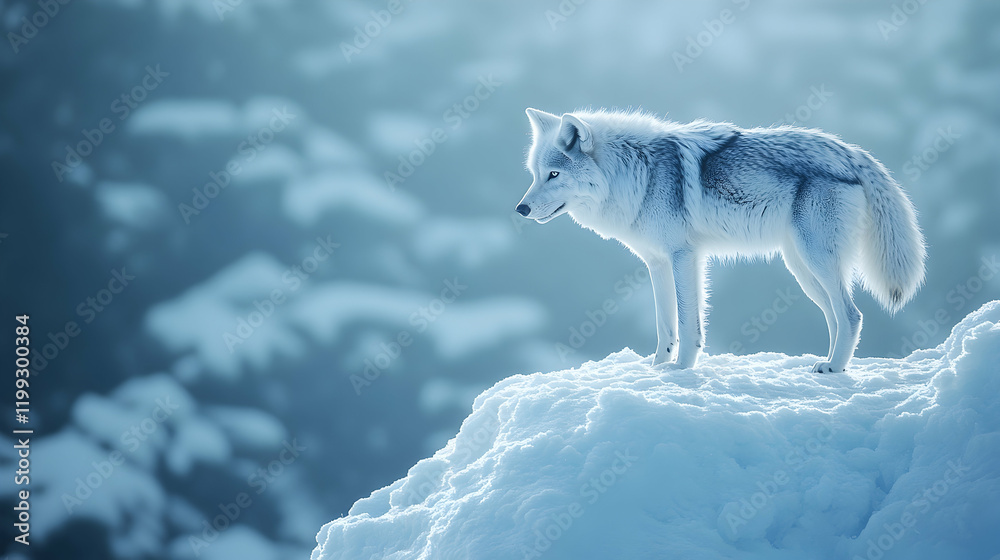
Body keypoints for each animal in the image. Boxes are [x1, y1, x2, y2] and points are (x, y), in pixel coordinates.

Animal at [515, 108, 925, 372]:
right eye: (535, 174)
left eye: (554, 174)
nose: (520, 208)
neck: (638, 174)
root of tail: (853, 152)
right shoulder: (657, 263)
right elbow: (664, 325)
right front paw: (657, 368)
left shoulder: (685, 257)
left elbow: (687, 323)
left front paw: (681, 370)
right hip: (803, 269)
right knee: (837, 317)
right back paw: (828, 363)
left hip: (815, 261)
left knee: (853, 315)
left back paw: (835, 368)